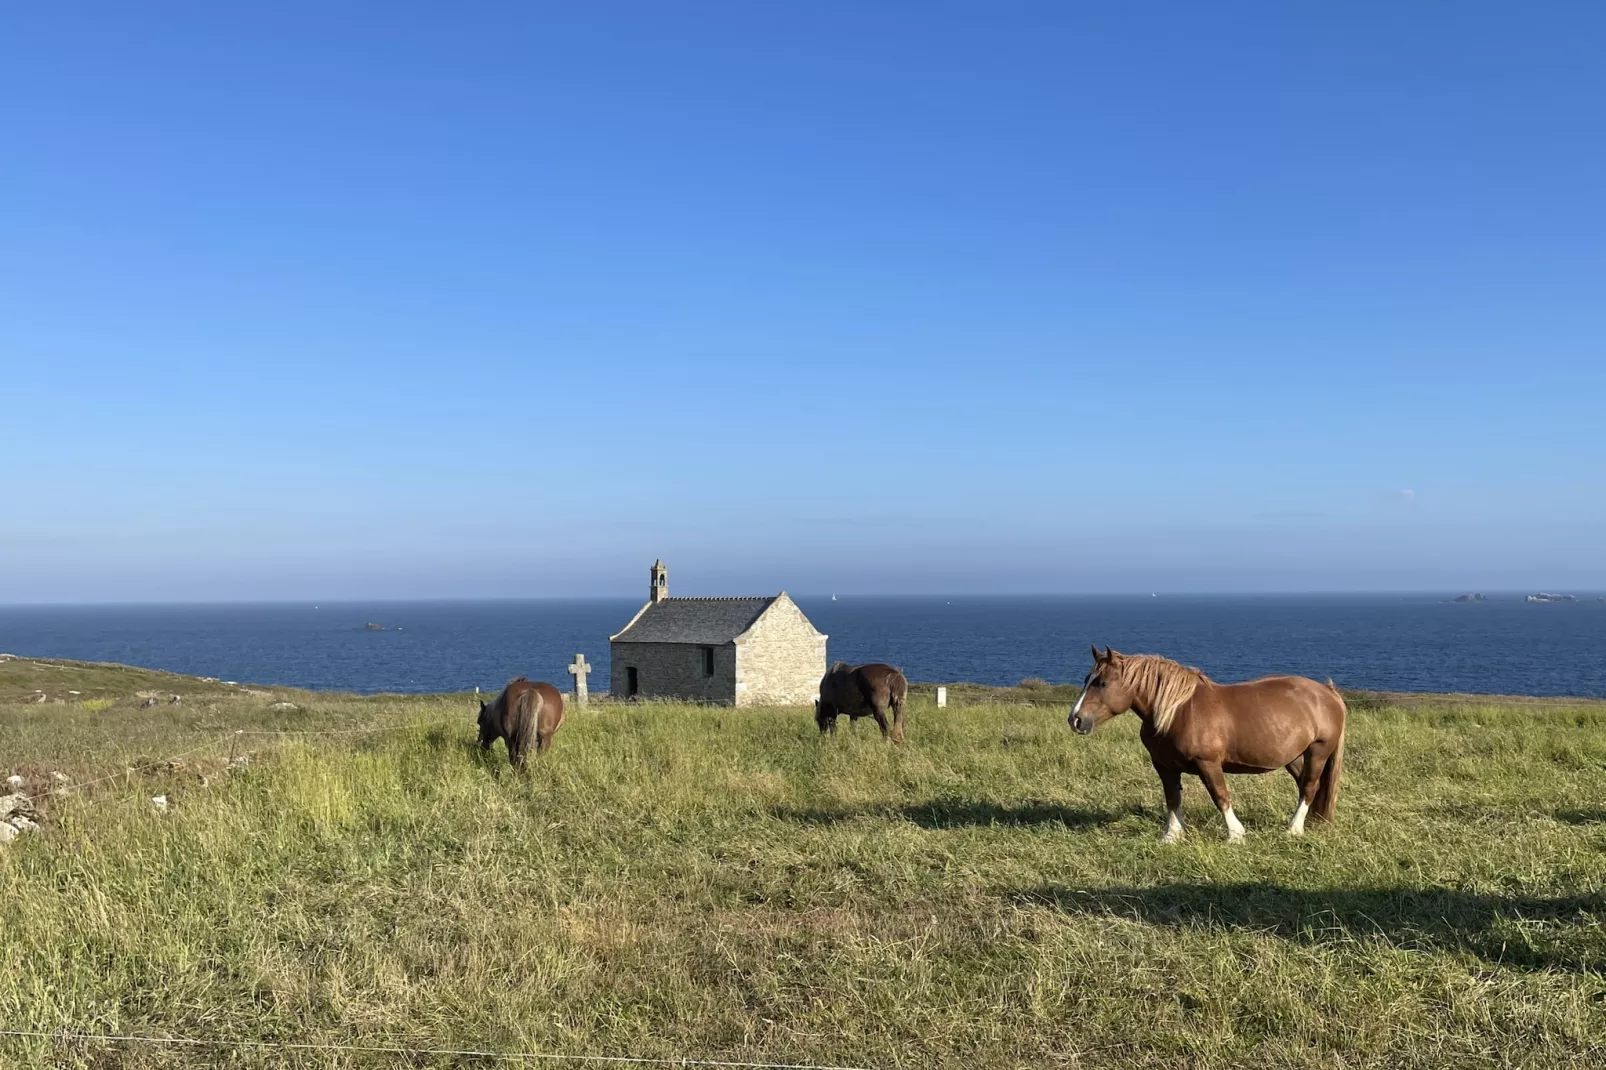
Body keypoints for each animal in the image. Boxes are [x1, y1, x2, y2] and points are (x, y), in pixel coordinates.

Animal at [1072, 642, 1349, 841]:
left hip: (1318, 751)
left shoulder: (1207, 763)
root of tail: (1327, 693)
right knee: (1304, 785)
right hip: (1293, 756)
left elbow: (1220, 795)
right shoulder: (1164, 766)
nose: (1075, 719)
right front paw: (1172, 835)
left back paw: (1293, 829)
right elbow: (1172, 798)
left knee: (1309, 786)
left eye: (1103, 683)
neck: (1178, 711)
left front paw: (1235, 835)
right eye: (1086, 679)